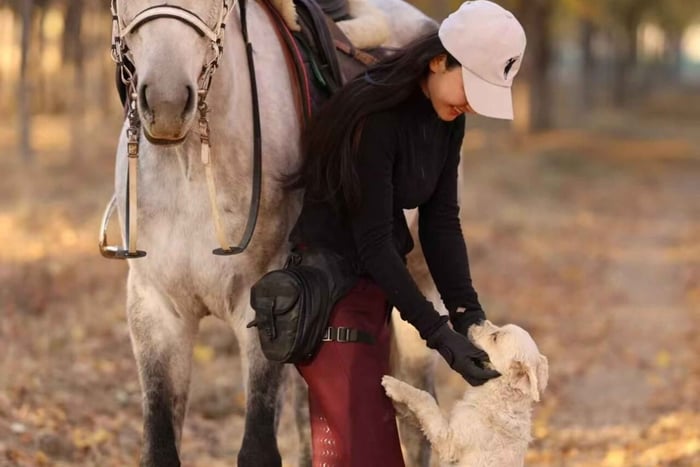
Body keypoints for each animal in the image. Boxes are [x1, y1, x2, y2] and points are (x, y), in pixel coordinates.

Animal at [107, 0, 439, 465]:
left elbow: (259, 446)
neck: (193, 163)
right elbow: (159, 447)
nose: (168, 103)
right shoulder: (155, 308)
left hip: (418, 282)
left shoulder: (265, 304)